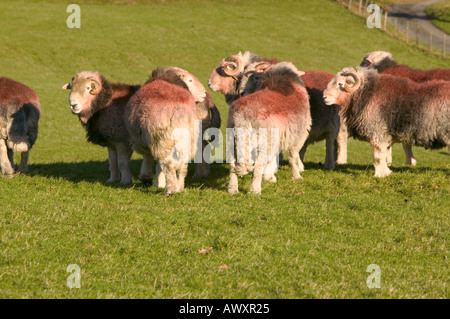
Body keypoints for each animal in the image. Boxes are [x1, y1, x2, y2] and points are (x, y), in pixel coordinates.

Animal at [124, 67, 221, 195]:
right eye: (190, 80)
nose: (204, 92)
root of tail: (180, 113)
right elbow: (159, 166)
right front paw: (159, 183)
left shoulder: (142, 141)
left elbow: (149, 158)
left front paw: (149, 179)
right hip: (188, 139)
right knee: (183, 166)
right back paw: (179, 187)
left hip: (161, 139)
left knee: (168, 165)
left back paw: (171, 190)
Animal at [227, 61, 312, 194]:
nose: (242, 91)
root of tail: (242, 117)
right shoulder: (299, 135)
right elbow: (292, 156)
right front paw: (296, 176)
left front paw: (269, 177)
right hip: (263, 141)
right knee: (258, 165)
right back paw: (255, 190)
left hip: (232, 139)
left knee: (232, 164)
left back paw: (233, 189)